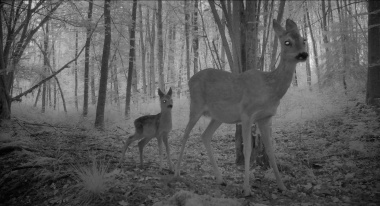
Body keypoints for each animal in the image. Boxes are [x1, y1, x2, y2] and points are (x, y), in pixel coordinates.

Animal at [175, 18, 308, 196]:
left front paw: (283, 187)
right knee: (185, 134)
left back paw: (220, 179)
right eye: (287, 42)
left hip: (217, 116)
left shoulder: (265, 117)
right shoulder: (247, 114)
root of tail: (190, 80)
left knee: (205, 135)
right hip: (196, 106)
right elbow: (247, 150)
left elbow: (271, 151)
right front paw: (246, 189)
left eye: (304, 39)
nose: (303, 54)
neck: (270, 88)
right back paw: (176, 172)